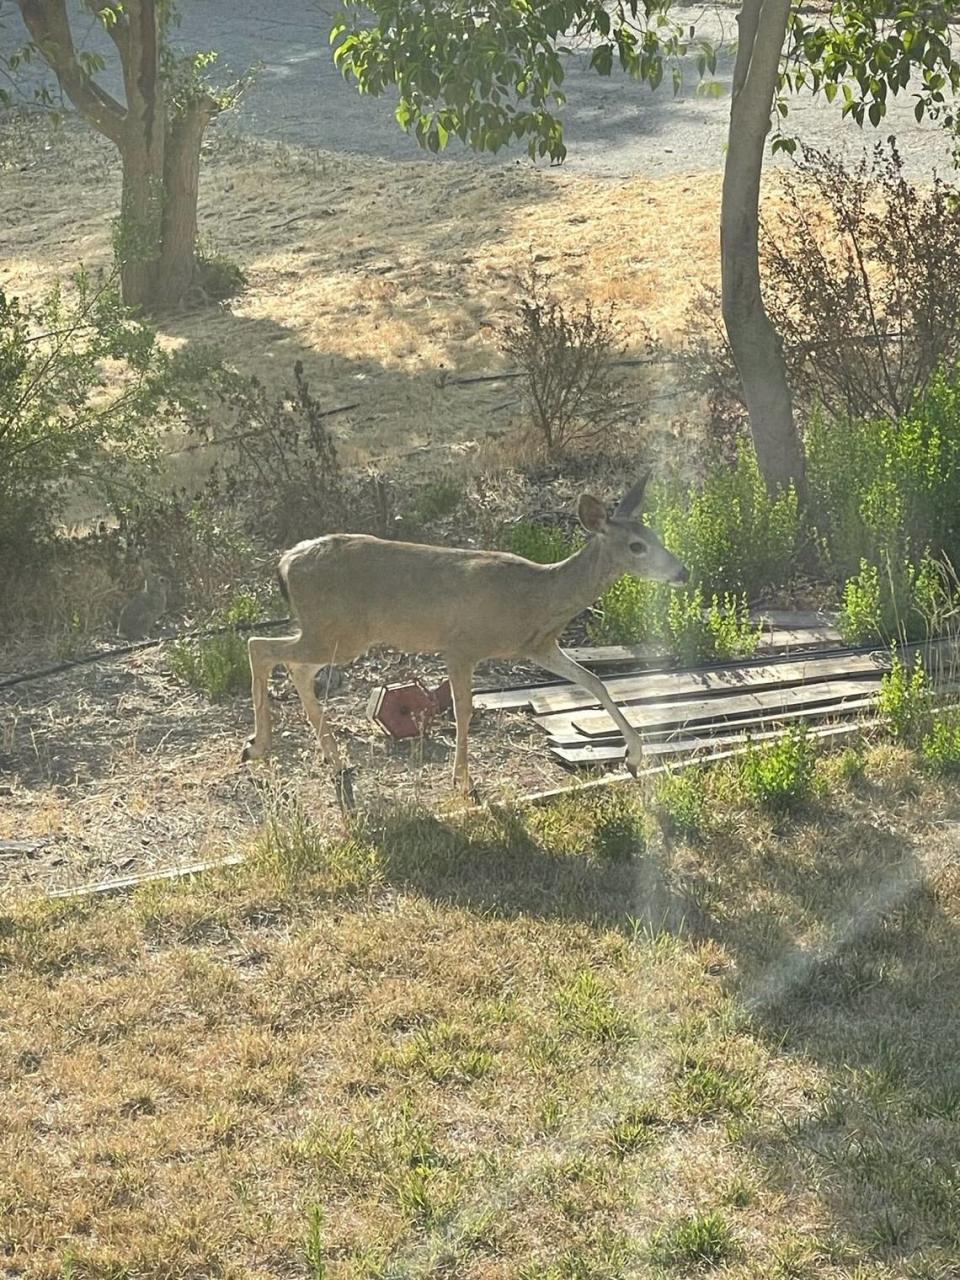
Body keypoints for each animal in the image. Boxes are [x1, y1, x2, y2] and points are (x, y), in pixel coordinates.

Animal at [244, 476, 686, 803]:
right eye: (636, 546)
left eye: (656, 536)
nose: (681, 572)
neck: (538, 598)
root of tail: (286, 561)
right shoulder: (460, 646)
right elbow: (464, 711)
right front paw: (463, 782)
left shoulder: (539, 646)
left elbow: (595, 681)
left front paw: (634, 757)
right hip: (336, 631)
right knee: (258, 646)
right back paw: (258, 747)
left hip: (336, 633)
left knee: (295, 667)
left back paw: (334, 760)